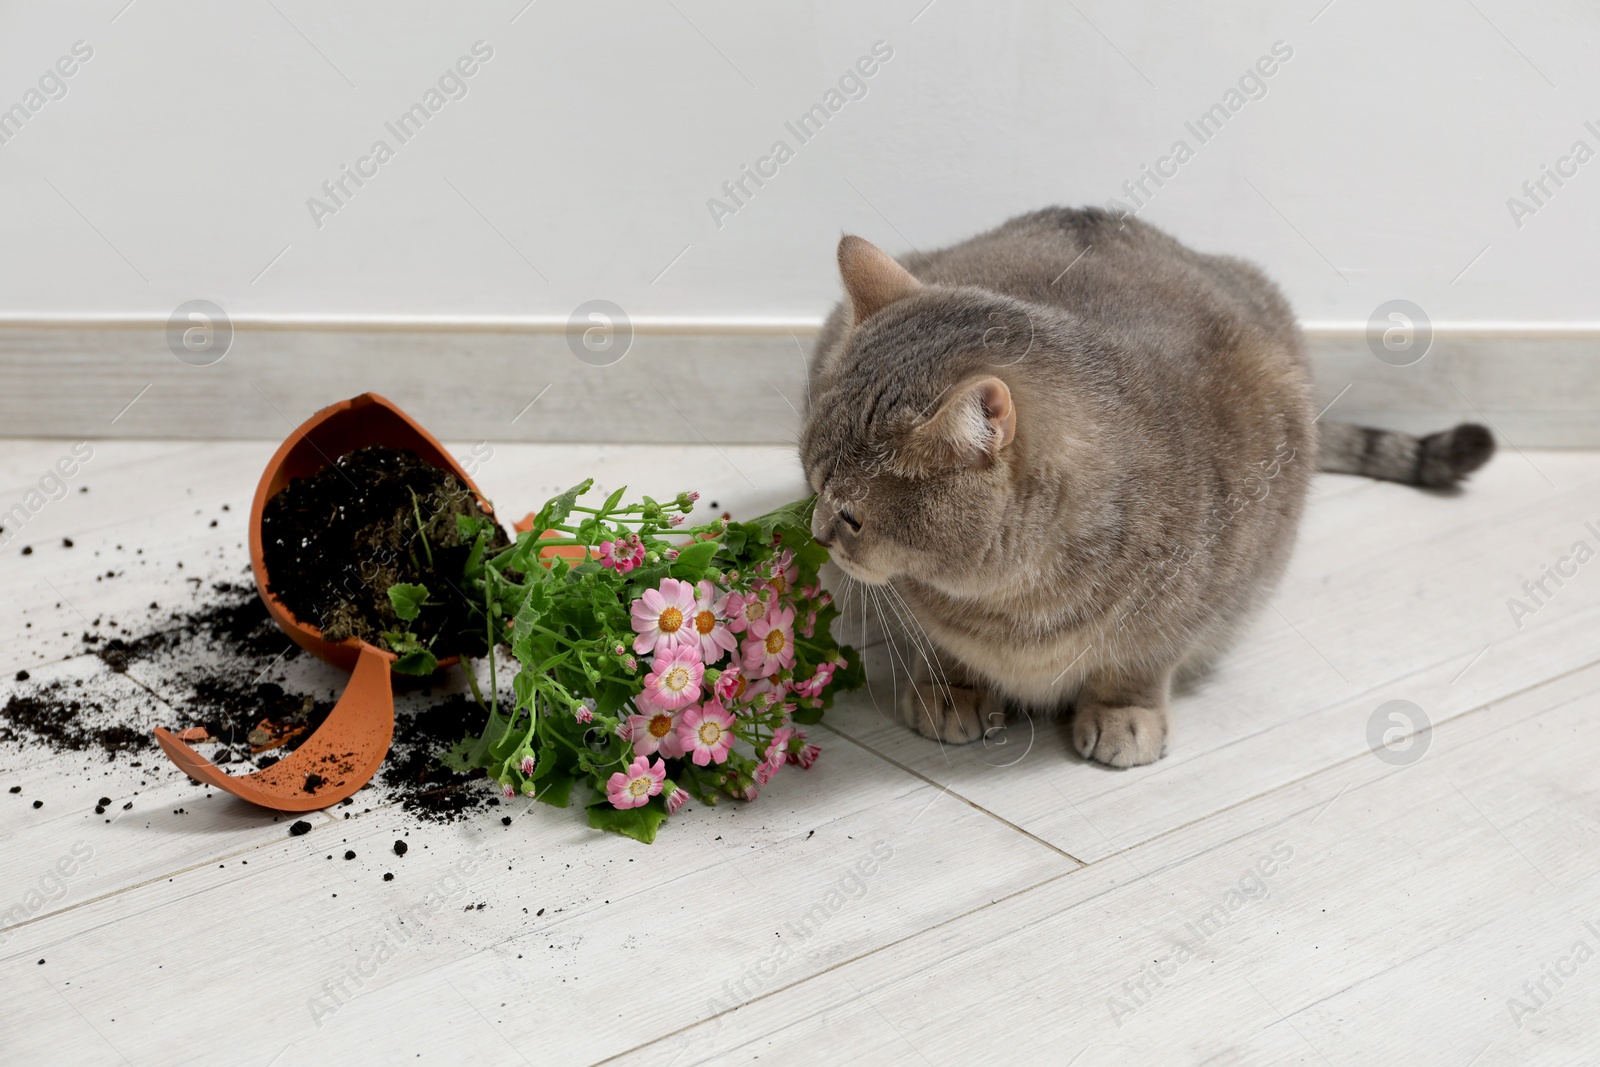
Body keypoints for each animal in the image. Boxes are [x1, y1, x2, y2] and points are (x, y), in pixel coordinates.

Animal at [806, 206, 1491, 767]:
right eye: (811, 481)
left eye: (853, 517)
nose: (816, 535)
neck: (1013, 602)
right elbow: (938, 643)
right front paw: (953, 686)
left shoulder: (1193, 598)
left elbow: (1138, 662)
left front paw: (1123, 715)